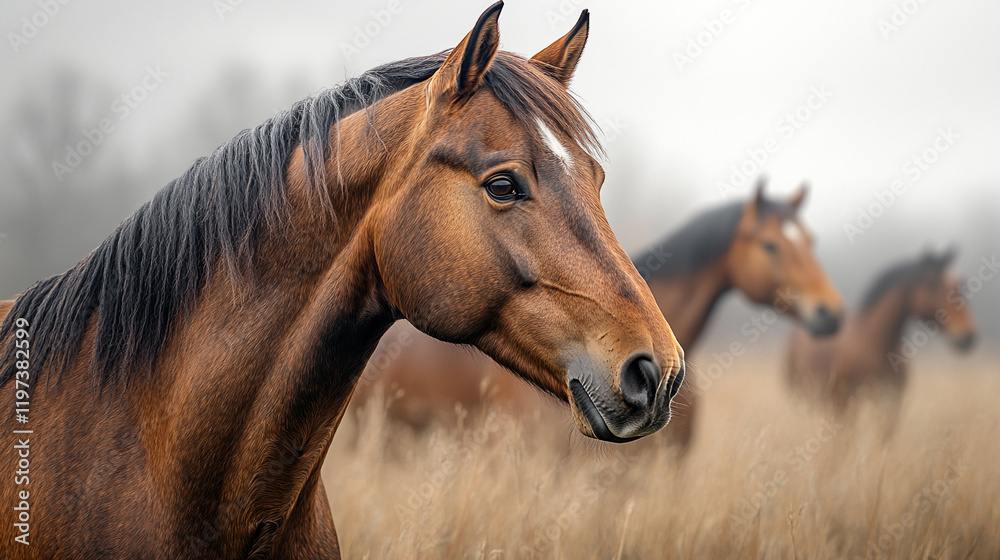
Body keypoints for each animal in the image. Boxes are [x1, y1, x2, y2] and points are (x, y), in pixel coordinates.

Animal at [786, 248, 976, 424]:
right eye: (932, 284)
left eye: (960, 283)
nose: (969, 336)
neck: (876, 344)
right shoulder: (845, 401)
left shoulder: (890, 404)